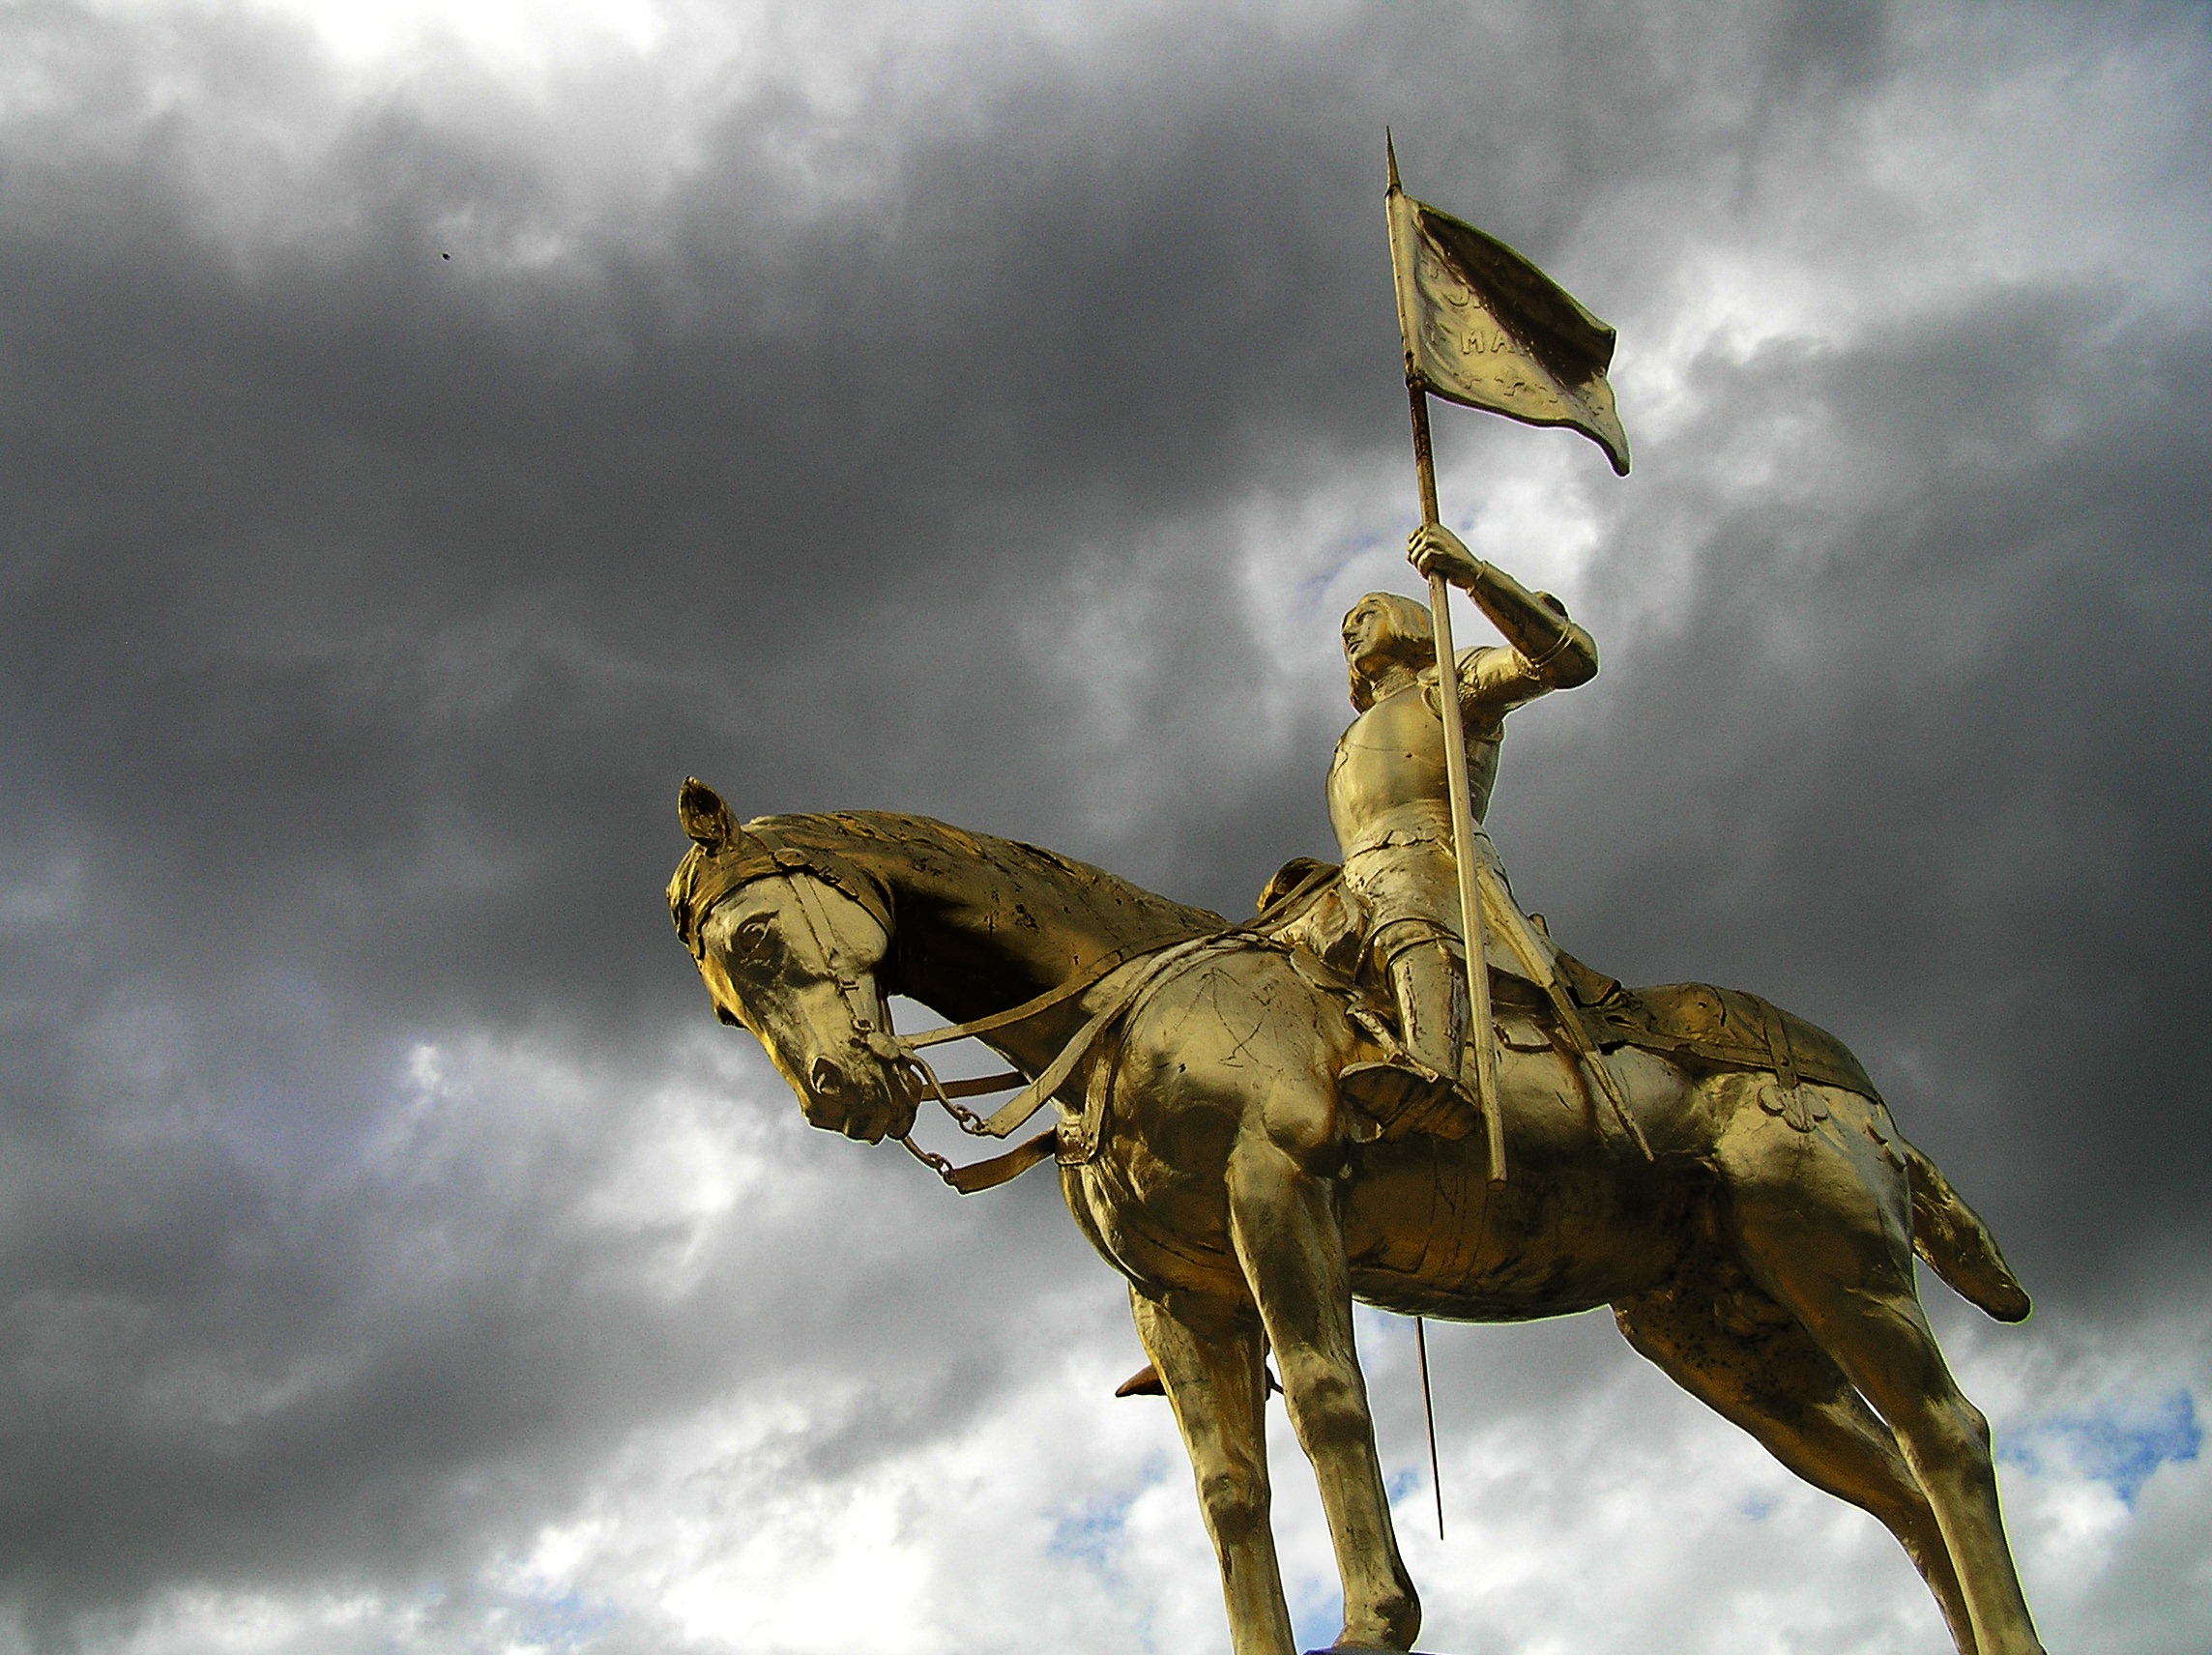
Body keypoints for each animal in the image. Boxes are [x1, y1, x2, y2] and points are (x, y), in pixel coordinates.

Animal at [663, 787, 2044, 1654]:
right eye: (724, 1001)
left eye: (759, 937)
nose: (843, 1096)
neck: (1125, 1007)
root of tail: (1856, 1091)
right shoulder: (1175, 1293)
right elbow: (1227, 1489)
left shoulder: (1274, 1194)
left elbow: (1329, 1399)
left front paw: (1377, 1620)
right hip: (1724, 1333)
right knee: (1895, 1491)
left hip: (1834, 1255)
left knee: (1947, 1438)